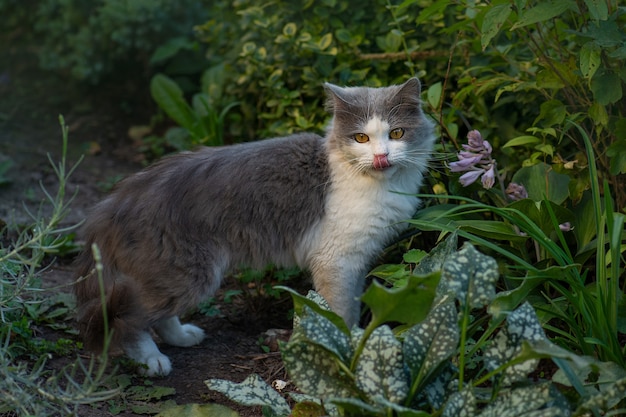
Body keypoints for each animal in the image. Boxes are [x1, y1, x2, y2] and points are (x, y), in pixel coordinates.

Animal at [73, 76, 434, 376]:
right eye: (361, 138)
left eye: (396, 133)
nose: (381, 156)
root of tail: (116, 199)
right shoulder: (335, 261)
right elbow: (339, 310)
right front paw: (345, 347)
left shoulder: (356, 260)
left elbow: (355, 304)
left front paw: (359, 338)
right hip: (189, 271)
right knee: (129, 320)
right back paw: (152, 360)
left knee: (156, 313)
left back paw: (182, 336)